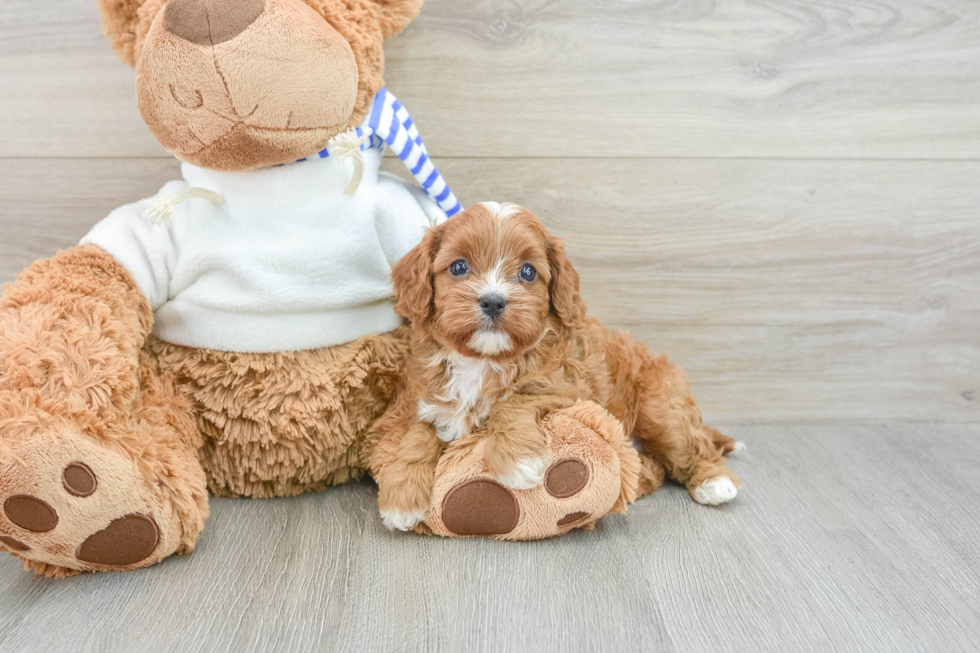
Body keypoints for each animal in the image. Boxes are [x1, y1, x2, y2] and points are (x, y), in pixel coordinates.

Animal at [372, 201, 740, 528]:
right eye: (459, 267)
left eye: (527, 271)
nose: (493, 301)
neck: (484, 360)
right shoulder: (430, 401)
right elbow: (416, 437)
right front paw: (401, 497)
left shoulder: (568, 387)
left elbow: (517, 399)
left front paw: (517, 461)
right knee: (654, 465)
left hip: (660, 408)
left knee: (692, 446)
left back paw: (714, 482)